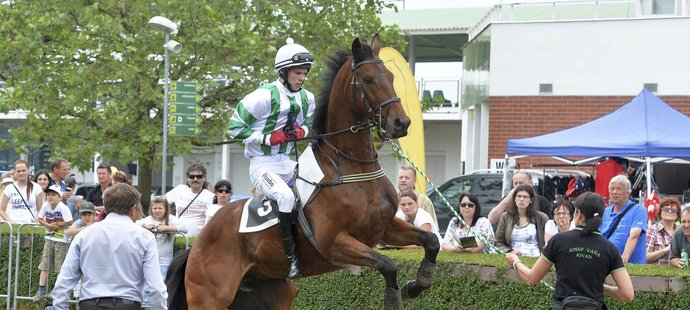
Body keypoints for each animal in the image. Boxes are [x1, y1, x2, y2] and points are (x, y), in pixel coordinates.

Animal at [164, 34, 438, 310]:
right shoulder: (334, 242)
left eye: (391, 77)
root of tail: (197, 243)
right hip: (209, 297)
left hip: (273, 294)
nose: (401, 123)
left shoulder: (385, 227)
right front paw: (397, 297)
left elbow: (431, 240)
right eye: (368, 79)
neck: (349, 168)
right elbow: (387, 264)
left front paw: (418, 284)